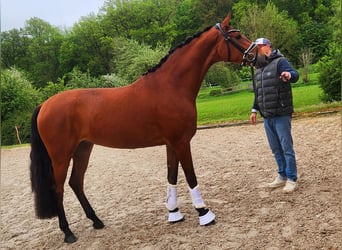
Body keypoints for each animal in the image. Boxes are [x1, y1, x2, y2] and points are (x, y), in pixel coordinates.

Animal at [30, 11, 256, 242]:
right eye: (237, 36)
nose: (261, 56)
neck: (171, 85)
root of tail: (44, 105)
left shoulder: (171, 144)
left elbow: (171, 176)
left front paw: (174, 213)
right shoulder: (181, 142)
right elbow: (190, 176)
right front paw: (204, 213)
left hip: (83, 148)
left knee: (76, 182)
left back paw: (97, 221)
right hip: (61, 156)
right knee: (58, 188)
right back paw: (68, 232)